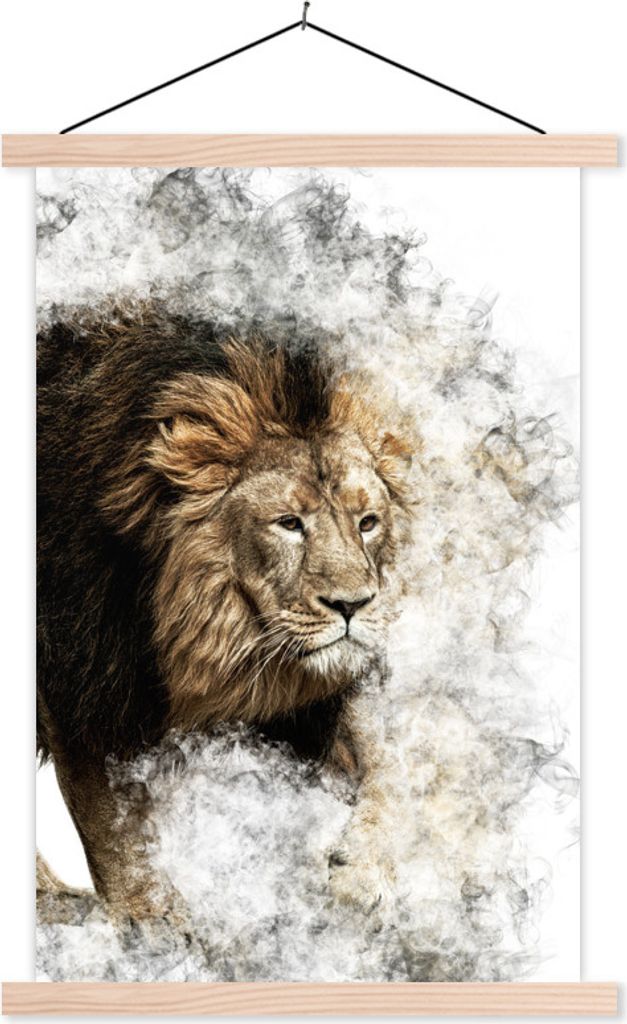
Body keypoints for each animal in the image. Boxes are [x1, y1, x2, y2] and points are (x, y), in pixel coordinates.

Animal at [37, 299, 416, 926]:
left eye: (367, 522)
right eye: (289, 523)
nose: (353, 605)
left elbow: (379, 756)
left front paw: (363, 873)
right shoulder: (81, 671)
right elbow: (110, 813)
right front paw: (154, 917)